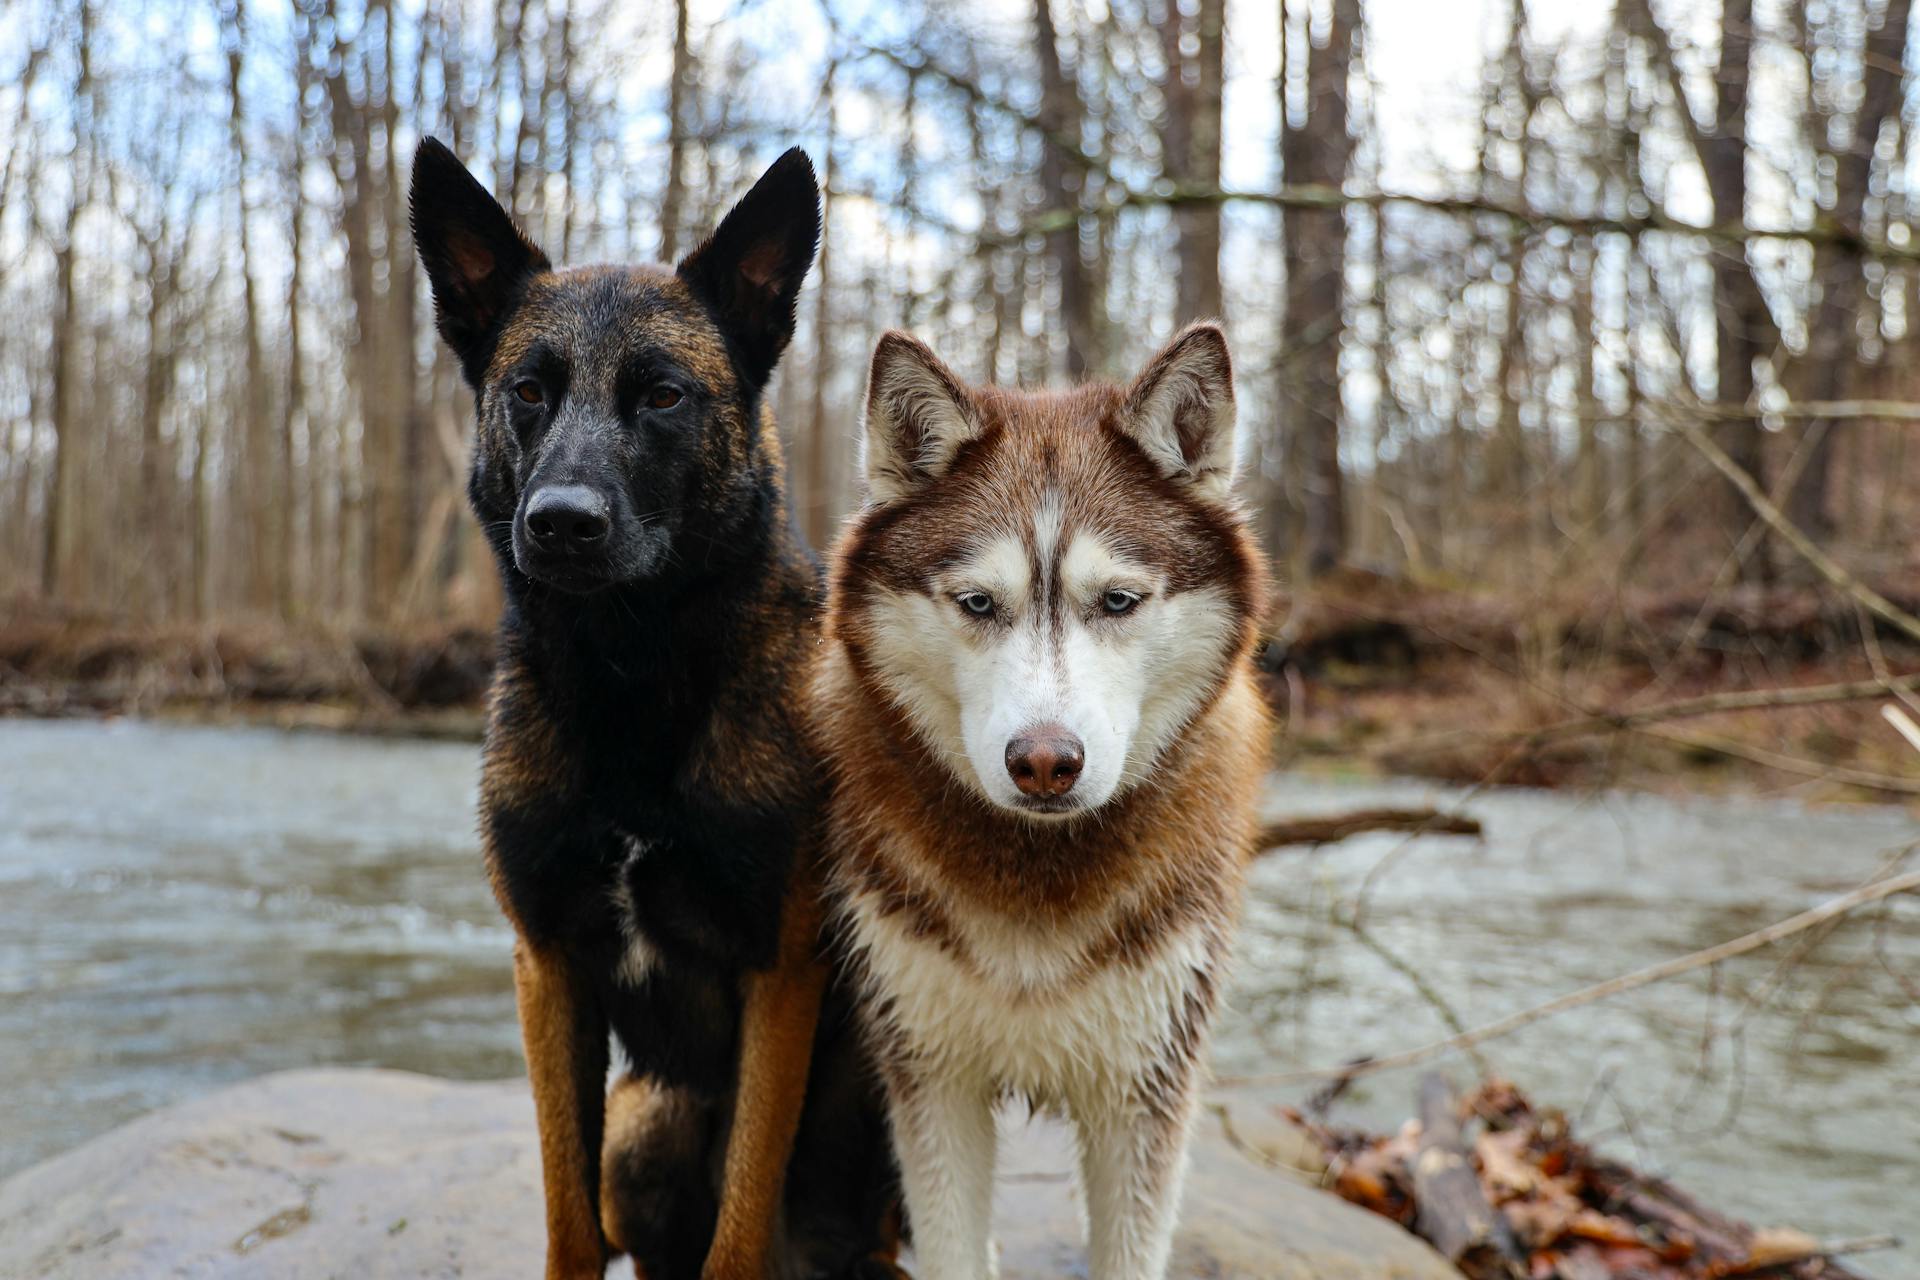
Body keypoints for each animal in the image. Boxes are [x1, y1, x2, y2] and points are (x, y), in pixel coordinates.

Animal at [410, 142, 898, 1280]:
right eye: (529, 390)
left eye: (665, 395)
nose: (561, 524)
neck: (627, 676)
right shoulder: (548, 967)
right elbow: (567, 1216)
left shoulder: (780, 971)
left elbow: (740, 1227)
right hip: (641, 1126)